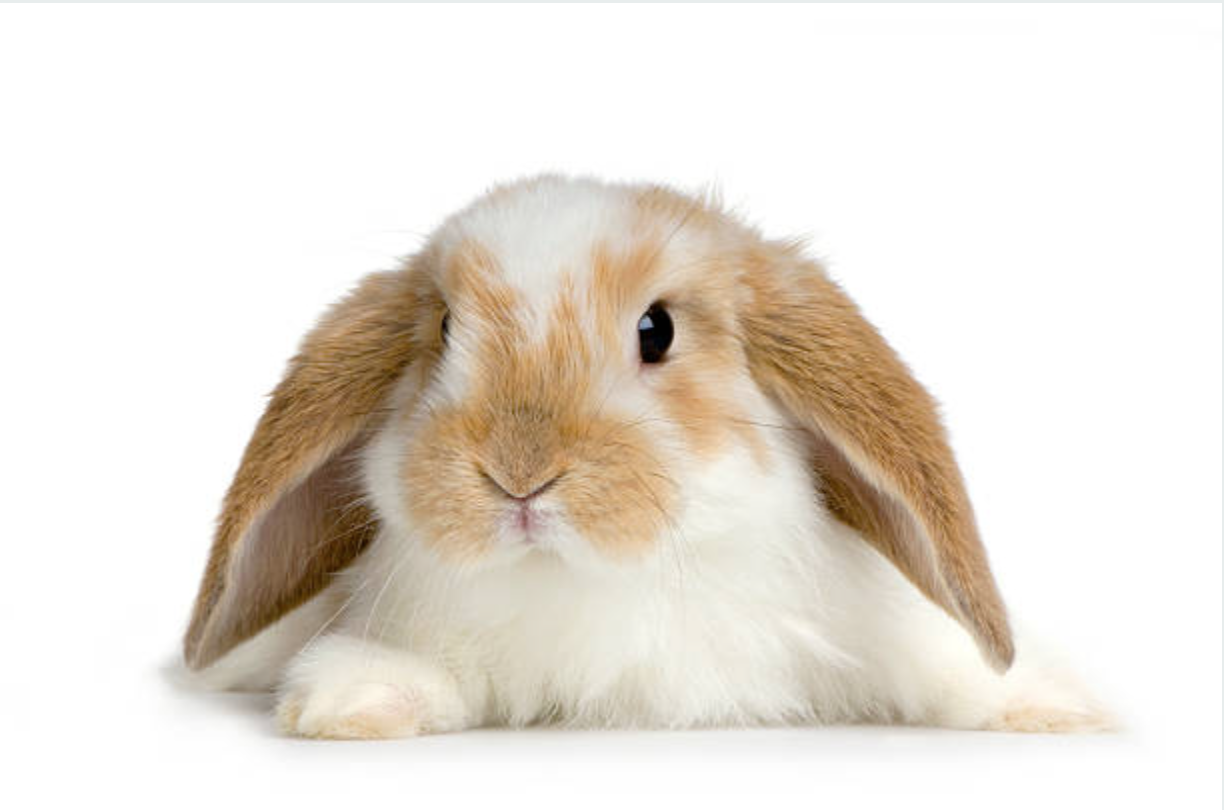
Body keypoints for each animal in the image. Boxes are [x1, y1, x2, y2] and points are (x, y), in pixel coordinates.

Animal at [183, 175, 1109, 738]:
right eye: (443, 329)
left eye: (656, 330)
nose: (518, 474)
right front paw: (353, 700)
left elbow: (949, 668)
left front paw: (1053, 706)